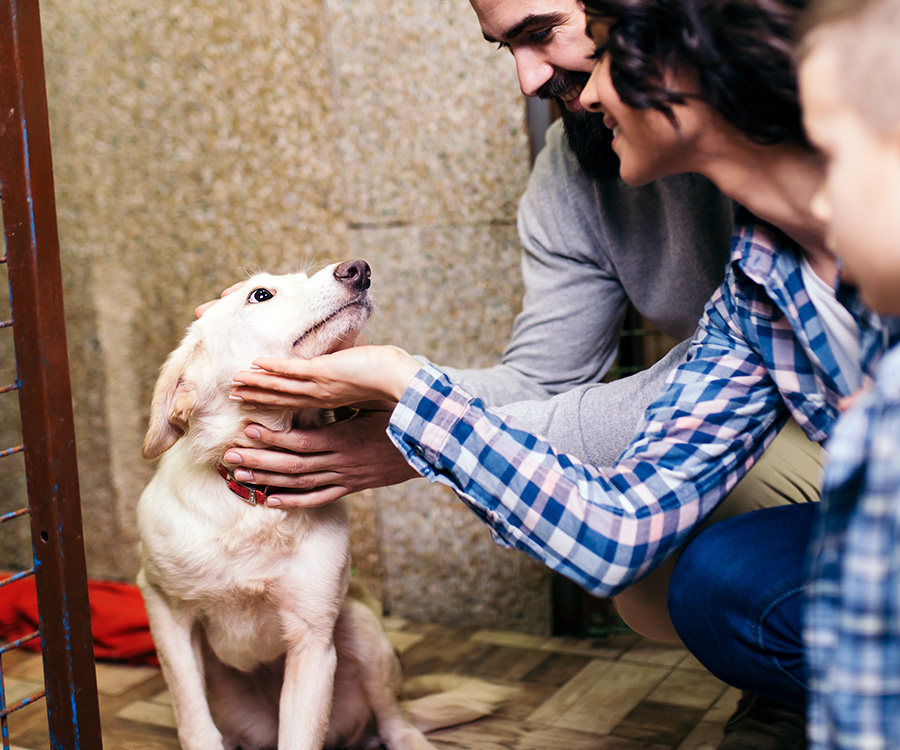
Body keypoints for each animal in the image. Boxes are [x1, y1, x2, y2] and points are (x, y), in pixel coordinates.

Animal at [134, 260, 512, 750]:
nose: (359, 269)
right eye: (260, 295)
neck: (254, 503)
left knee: (395, 720)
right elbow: (193, 718)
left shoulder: (313, 641)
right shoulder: (164, 608)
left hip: (362, 630)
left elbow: (301, 735)